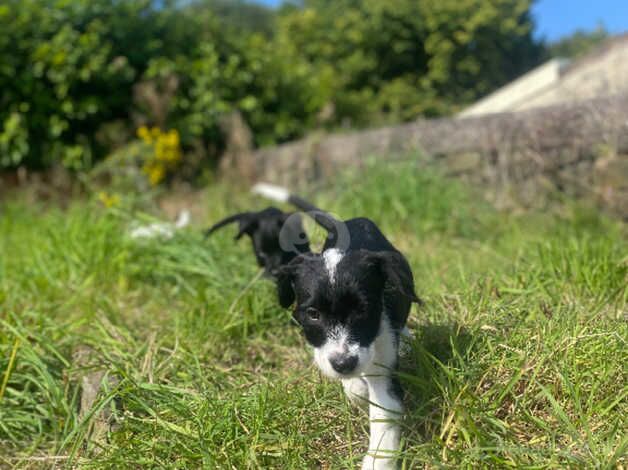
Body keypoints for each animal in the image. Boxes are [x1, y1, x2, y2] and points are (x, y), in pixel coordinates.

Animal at [253, 182, 420, 468]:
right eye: (313, 314)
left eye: (363, 310)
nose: (344, 364)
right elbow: (354, 387)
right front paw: (356, 390)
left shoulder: (383, 359)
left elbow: (384, 411)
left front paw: (378, 460)